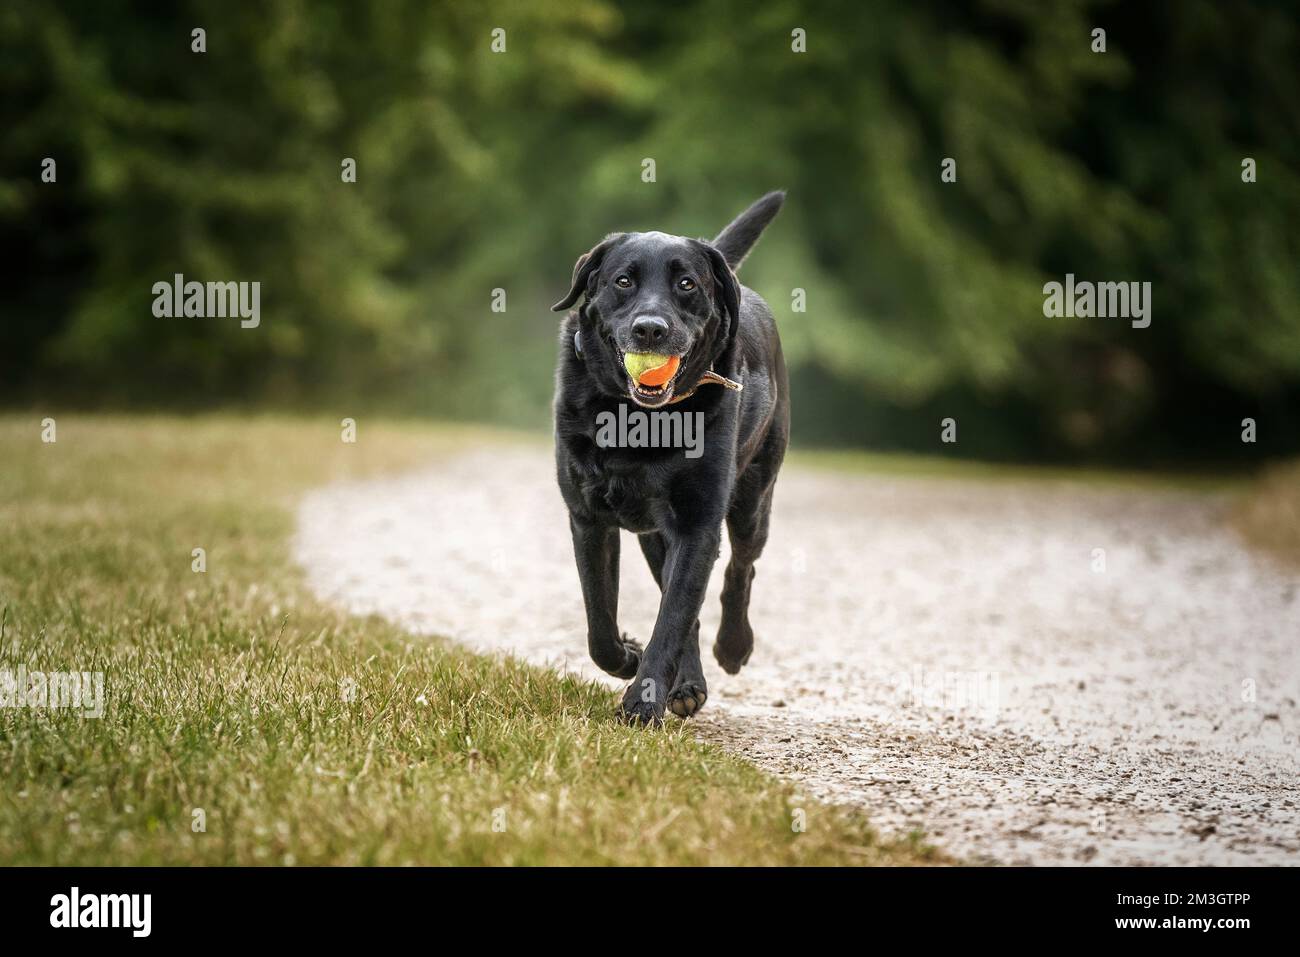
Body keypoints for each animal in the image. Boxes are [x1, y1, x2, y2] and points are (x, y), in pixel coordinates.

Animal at [551, 192, 785, 722]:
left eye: (686, 284)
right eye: (623, 281)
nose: (650, 330)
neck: (637, 420)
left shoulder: (697, 525)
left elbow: (674, 617)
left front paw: (641, 705)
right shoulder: (588, 518)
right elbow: (600, 620)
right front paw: (626, 657)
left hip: (752, 501)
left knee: (739, 570)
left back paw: (732, 647)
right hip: (653, 535)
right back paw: (689, 684)